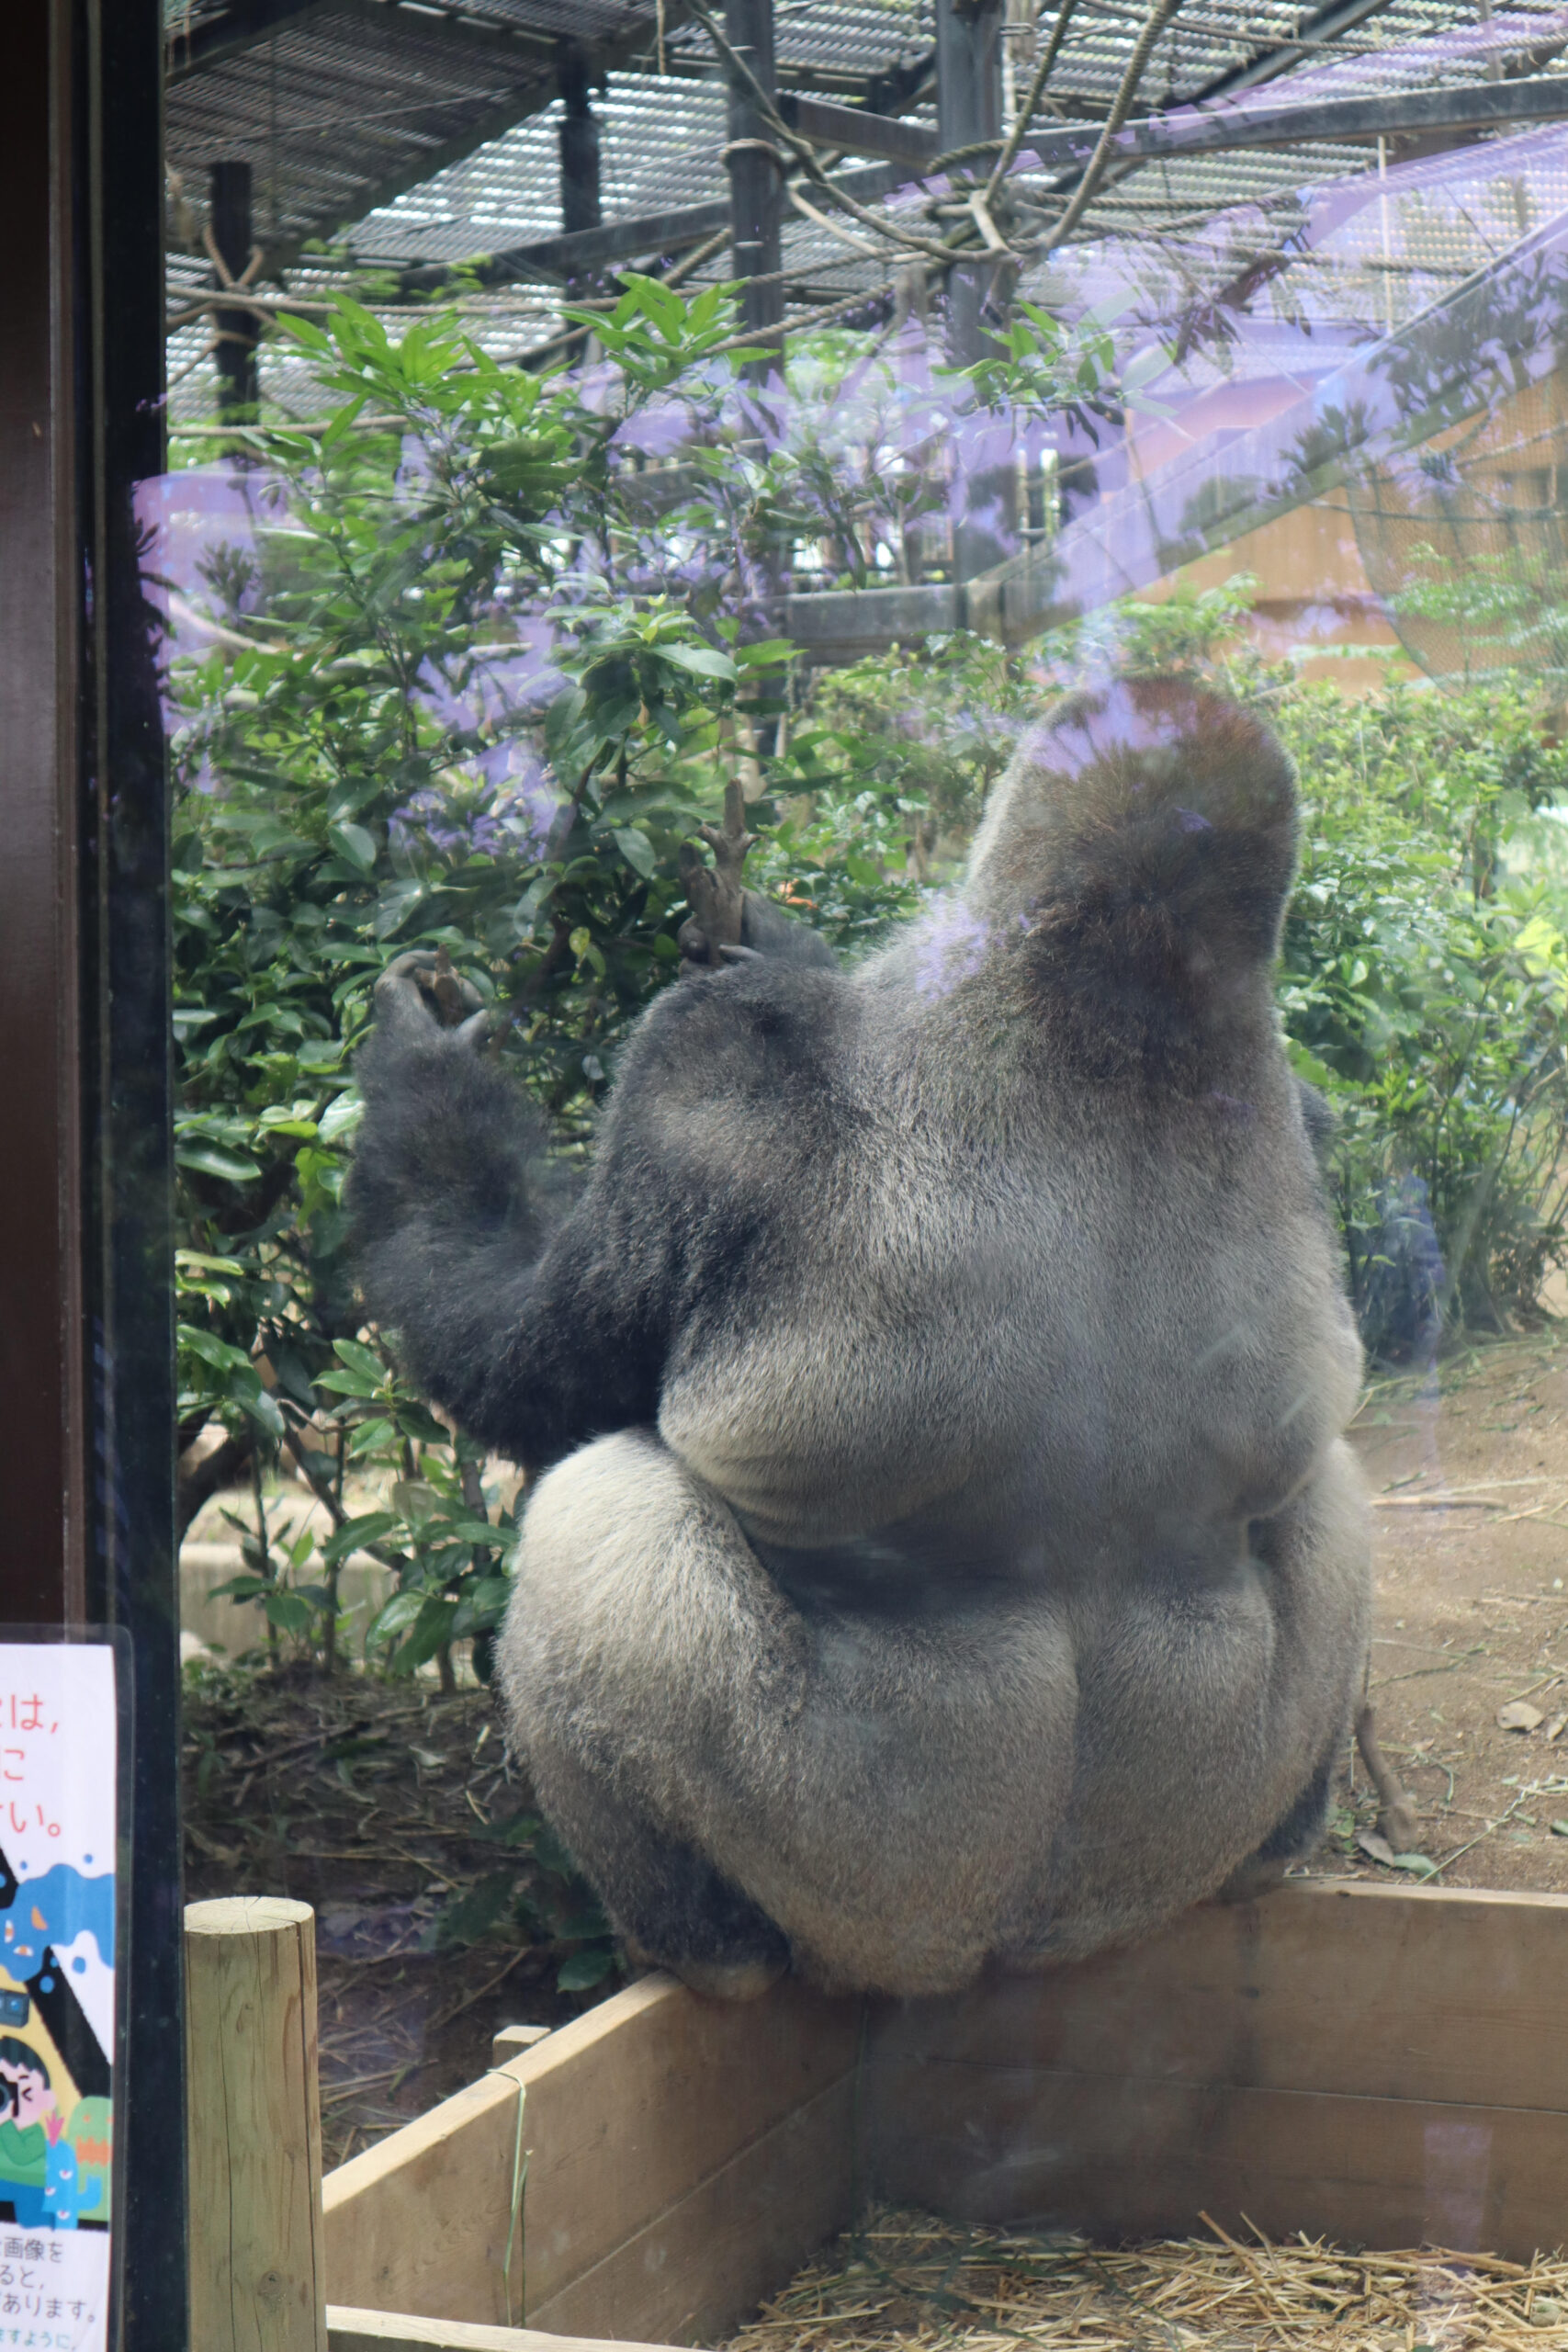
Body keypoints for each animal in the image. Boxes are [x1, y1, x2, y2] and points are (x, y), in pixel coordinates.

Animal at [352, 677, 1372, 2004]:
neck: (1114, 1005)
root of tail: (1008, 1944)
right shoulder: (1305, 1106)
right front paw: (763, 925)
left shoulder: (709, 1064)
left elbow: (521, 1368)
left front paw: (422, 1083)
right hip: (1173, 1835)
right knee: (1336, 1485)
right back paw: (1281, 1846)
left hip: (878, 1891)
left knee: (598, 1501)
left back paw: (695, 1944)